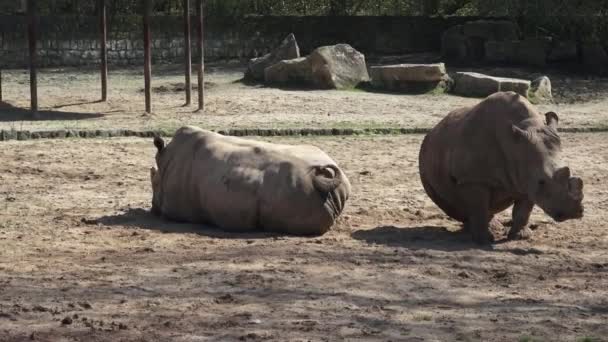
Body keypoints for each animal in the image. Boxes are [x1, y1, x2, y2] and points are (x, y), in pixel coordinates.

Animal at [150, 125, 352, 235]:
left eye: (153, 182)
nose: (152, 209)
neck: (165, 161)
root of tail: (319, 179)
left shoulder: (173, 207)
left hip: (296, 192)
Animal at [418, 91, 584, 243]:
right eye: (541, 181)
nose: (573, 213)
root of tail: (433, 129)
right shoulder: (473, 178)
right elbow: (478, 207)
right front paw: (483, 240)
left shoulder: (526, 177)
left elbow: (523, 211)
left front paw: (521, 237)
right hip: (429, 157)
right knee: (453, 204)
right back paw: (481, 229)